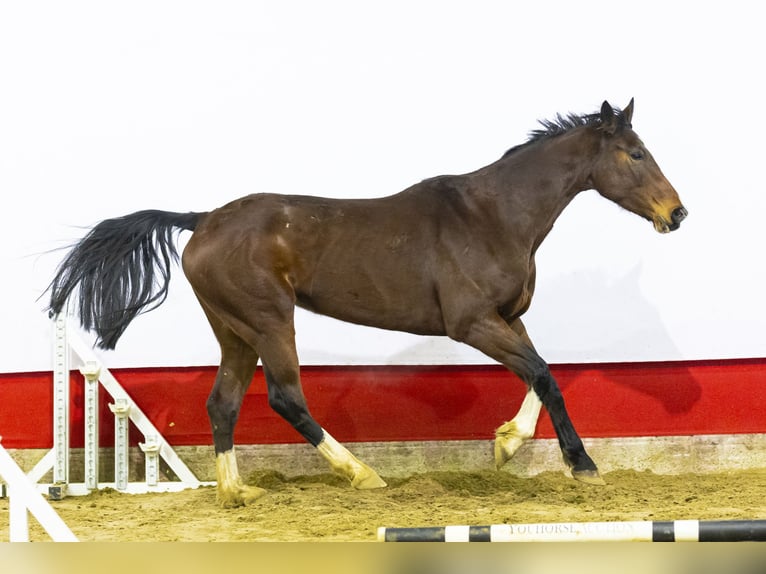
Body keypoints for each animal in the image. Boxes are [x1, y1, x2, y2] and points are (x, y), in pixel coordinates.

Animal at [45, 99, 688, 508]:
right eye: (634, 153)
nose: (677, 213)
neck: (494, 216)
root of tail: (202, 220)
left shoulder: (508, 318)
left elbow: (539, 374)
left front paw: (507, 443)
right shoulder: (473, 323)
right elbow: (545, 373)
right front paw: (582, 467)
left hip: (236, 331)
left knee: (222, 404)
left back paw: (235, 492)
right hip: (270, 321)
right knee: (285, 397)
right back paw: (362, 474)